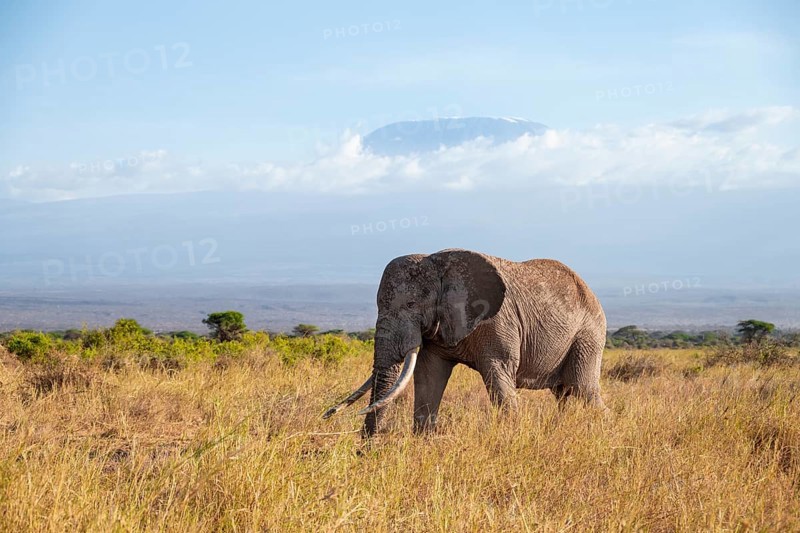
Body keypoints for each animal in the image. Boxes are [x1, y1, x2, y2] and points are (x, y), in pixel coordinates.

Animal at [323, 249, 607, 437]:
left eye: (411, 304)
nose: (365, 451)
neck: (437, 264)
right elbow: (429, 376)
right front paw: (423, 444)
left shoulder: (497, 321)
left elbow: (498, 377)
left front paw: (510, 441)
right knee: (565, 393)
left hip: (588, 335)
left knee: (584, 389)